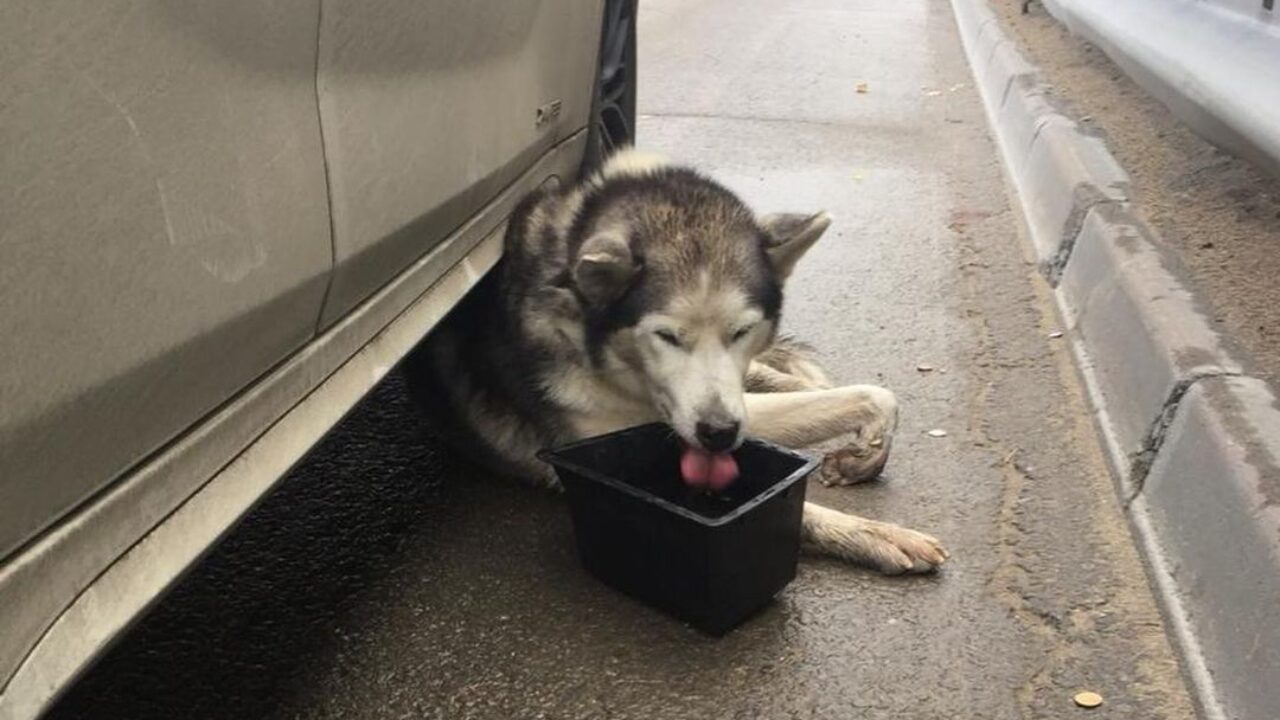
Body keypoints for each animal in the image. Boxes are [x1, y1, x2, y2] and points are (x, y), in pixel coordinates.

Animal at [409, 149, 952, 571]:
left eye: (740, 331)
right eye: (666, 336)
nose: (718, 434)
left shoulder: (724, 405)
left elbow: (876, 395)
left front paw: (866, 453)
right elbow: (804, 510)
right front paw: (876, 534)